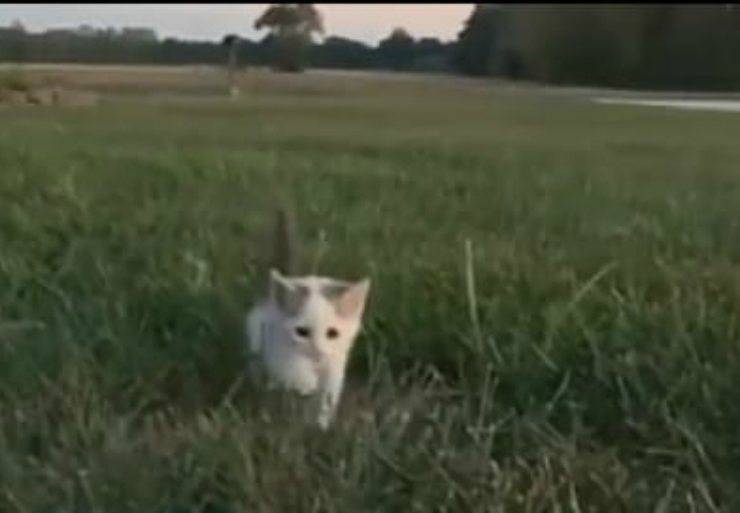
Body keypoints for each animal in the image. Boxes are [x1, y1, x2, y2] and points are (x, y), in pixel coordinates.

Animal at [246, 208, 370, 428]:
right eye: (301, 332)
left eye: (332, 333)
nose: (317, 351)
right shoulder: (276, 341)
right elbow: (289, 369)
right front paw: (303, 382)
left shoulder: (337, 358)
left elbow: (327, 392)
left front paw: (320, 424)